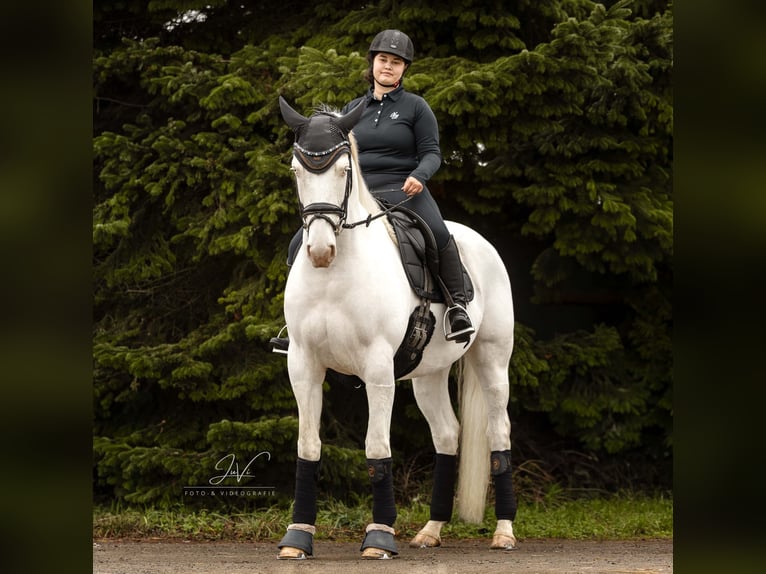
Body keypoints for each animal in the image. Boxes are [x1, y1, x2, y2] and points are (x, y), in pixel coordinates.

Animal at [275, 96, 518, 560]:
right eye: (297, 170)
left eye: (343, 170)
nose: (319, 251)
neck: (335, 276)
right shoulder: (303, 365)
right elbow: (308, 446)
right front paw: (297, 537)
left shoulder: (377, 369)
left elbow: (376, 448)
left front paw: (379, 537)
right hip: (428, 374)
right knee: (447, 435)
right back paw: (431, 530)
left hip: (493, 360)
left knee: (499, 433)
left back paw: (504, 533)